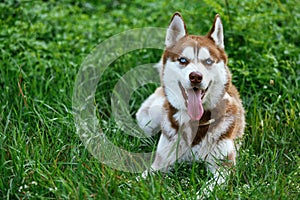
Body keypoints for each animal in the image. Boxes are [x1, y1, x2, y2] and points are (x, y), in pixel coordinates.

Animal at [137, 12, 245, 194]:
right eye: (183, 60)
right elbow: (138, 179)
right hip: (147, 119)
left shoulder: (223, 168)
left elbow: (206, 191)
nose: (195, 76)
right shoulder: (160, 163)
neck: (196, 122)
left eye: (208, 61)